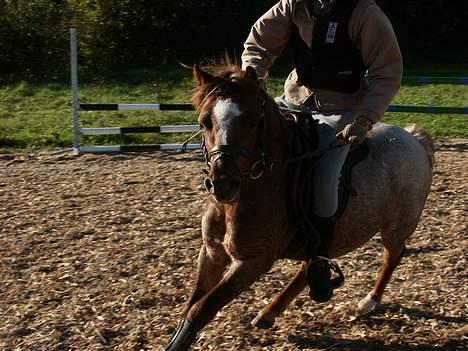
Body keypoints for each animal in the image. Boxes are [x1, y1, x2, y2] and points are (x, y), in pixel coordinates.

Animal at [163, 64, 434, 351]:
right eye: (205, 121)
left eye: (254, 121)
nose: (223, 183)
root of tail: (413, 138)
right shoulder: (212, 252)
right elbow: (191, 304)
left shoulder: (252, 262)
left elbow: (200, 309)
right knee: (310, 266)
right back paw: (270, 312)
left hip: (396, 227)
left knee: (392, 256)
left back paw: (370, 301)